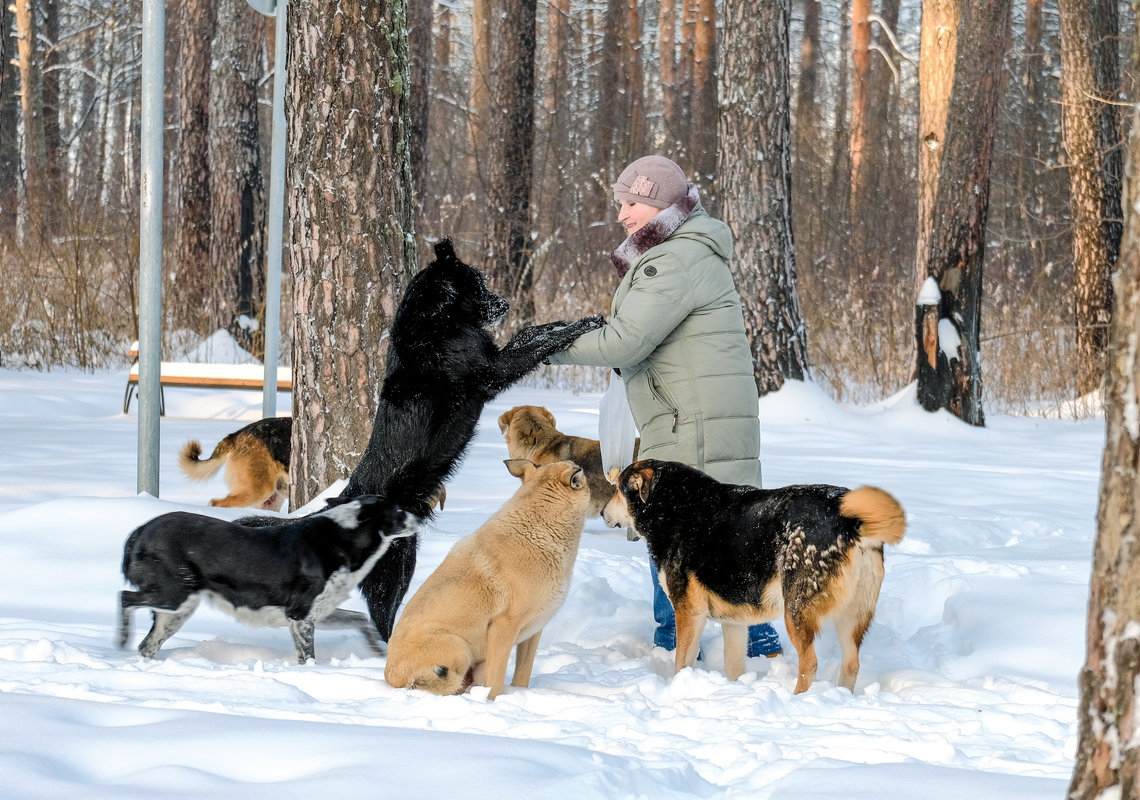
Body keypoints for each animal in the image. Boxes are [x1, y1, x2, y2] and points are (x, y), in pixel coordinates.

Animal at [117, 494, 419, 665]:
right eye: (399, 511)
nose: (418, 519)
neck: (344, 536)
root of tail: (140, 531)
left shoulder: (318, 613)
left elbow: (362, 620)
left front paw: (379, 653)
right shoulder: (300, 616)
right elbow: (308, 656)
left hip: (178, 609)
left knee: (148, 645)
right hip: (173, 594)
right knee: (124, 598)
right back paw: (121, 639)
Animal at [387, 460, 592, 697]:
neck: (541, 530)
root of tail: (390, 676)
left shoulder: (533, 632)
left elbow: (522, 676)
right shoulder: (503, 629)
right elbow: (495, 684)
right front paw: (491, 701)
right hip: (458, 646)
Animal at [601, 464, 902, 697]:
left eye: (616, 489)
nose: (602, 512)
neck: (674, 506)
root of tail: (851, 520)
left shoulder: (689, 613)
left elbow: (682, 662)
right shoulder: (734, 623)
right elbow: (733, 666)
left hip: (795, 610)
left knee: (810, 664)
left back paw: (796, 701)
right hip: (851, 618)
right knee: (851, 664)